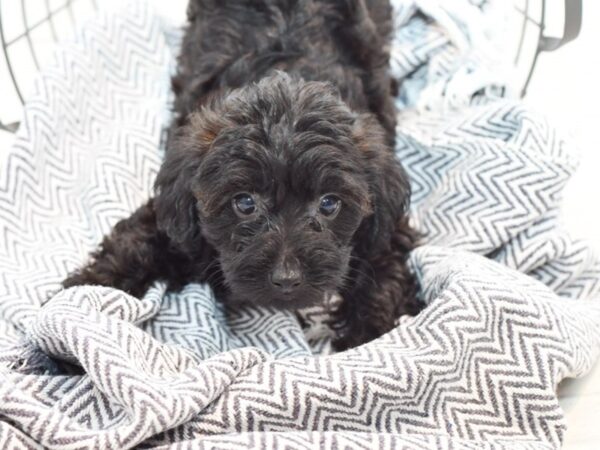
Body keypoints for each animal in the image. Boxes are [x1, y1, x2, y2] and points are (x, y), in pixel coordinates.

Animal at [63, 0, 420, 350]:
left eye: (329, 204)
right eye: (245, 203)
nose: (287, 278)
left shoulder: (384, 228)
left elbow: (383, 271)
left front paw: (368, 338)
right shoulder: (178, 219)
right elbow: (133, 244)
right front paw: (80, 296)